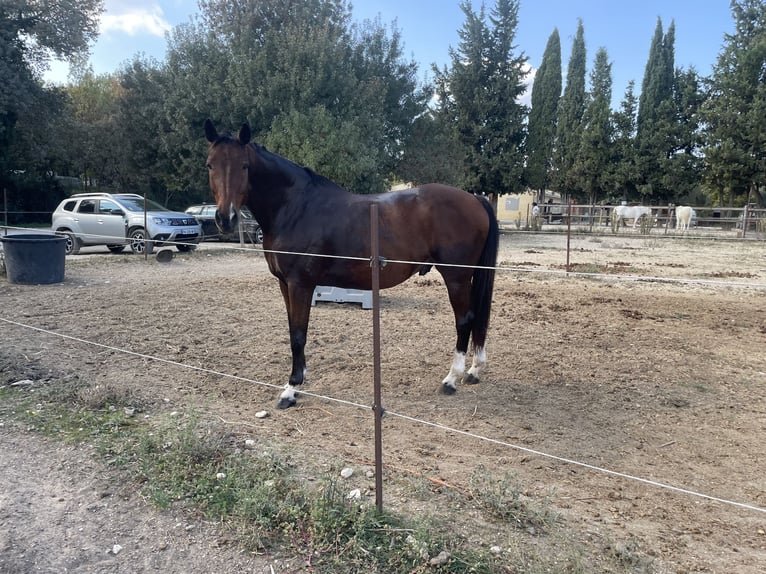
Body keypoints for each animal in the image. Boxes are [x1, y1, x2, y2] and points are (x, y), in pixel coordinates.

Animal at [204, 120, 499, 409]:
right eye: (210, 164)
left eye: (244, 165)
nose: (226, 218)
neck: (296, 207)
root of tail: (475, 198)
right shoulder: (284, 284)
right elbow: (292, 331)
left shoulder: (300, 284)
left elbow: (299, 333)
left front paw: (291, 389)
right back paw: (474, 370)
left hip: (456, 277)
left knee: (464, 320)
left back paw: (451, 379)